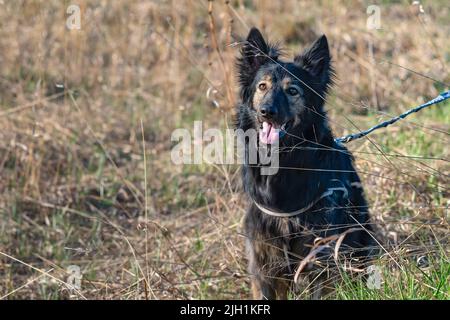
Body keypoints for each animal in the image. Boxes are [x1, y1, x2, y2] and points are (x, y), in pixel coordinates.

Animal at [236, 27, 376, 300]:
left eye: (293, 91)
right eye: (262, 86)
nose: (267, 111)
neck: (284, 162)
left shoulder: (320, 258)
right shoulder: (263, 261)